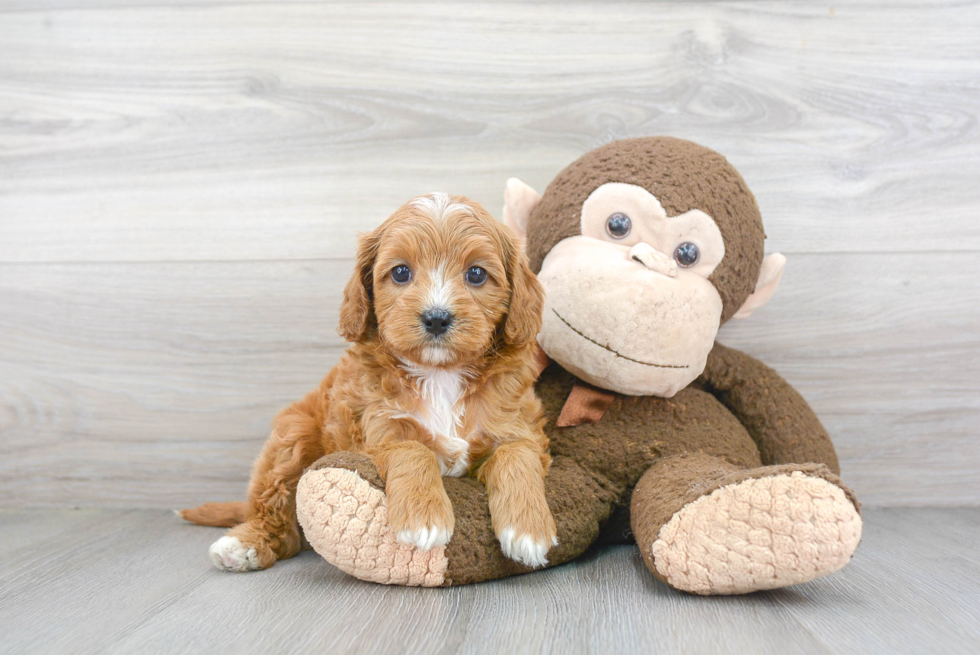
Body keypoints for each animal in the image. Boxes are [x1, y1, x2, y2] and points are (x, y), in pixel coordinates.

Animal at [179, 196, 556, 576]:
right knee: (278, 518)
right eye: (401, 272)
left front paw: (528, 530)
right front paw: (424, 517)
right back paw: (245, 544)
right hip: (294, 435)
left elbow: (516, 454)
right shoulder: (376, 426)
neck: (441, 374)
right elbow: (412, 448)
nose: (436, 317)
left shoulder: (516, 424)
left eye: (476, 274)